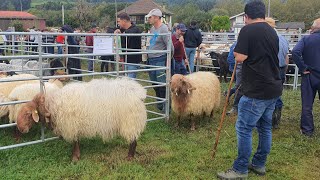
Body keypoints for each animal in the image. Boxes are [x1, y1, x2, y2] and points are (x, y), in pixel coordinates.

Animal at [16, 77, 147, 162]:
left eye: (28, 114)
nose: (20, 129)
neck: (53, 105)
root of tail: (139, 92)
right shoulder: (74, 125)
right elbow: (77, 141)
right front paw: (77, 155)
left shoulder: (70, 125)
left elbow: (75, 142)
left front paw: (75, 158)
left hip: (131, 121)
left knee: (133, 140)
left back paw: (129, 157)